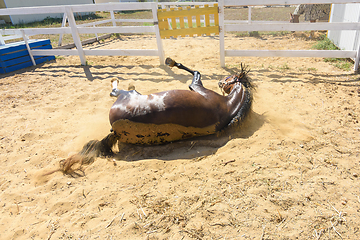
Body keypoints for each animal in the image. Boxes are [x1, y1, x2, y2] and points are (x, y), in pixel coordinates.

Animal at [56, 58, 253, 174]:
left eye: (229, 77)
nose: (221, 81)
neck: (228, 106)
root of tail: (116, 131)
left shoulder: (196, 86)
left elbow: (196, 73)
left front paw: (172, 62)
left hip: (127, 95)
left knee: (115, 91)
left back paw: (118, 81)